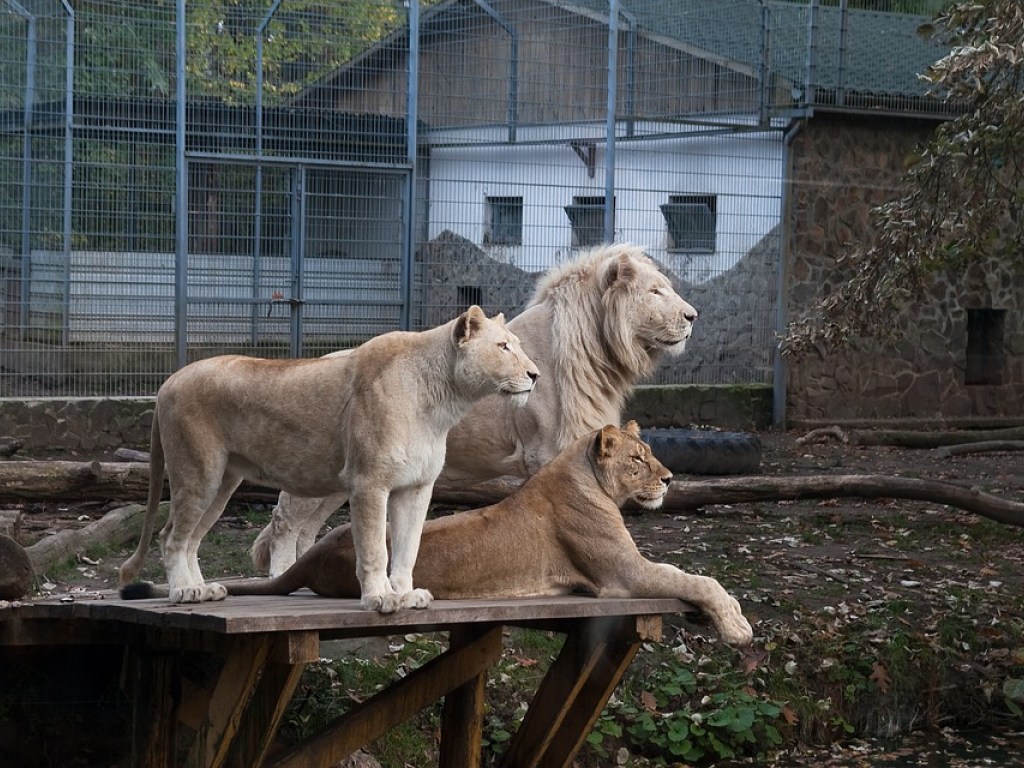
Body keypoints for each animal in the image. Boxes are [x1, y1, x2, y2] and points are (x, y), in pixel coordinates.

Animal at [117, 307, 540, 614]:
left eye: (517, 344)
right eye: (503, 346)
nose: (535, 374)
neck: (443, 401)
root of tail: (168, 382)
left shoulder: (416, 487)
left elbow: (408, 549)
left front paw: (407, 595)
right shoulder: (369, 482)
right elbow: (375, 547)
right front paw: (379, 598)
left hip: (222, 482)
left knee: (191, 538)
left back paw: (202, 590)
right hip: (198, 472)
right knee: (171, 536)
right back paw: (183, 592)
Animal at [128, 421, 753, 651]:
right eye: (638, 460)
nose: (670, 479)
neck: (582, 474)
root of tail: (316, 556)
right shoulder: (622, 576)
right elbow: (696, 578)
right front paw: (737, 626)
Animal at [251, 244, 700, 577]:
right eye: (656, 292)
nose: (693, 315)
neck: (596, 356)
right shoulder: (543, 453)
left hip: (335, 478)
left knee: (305, 530)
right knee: (285, 526)